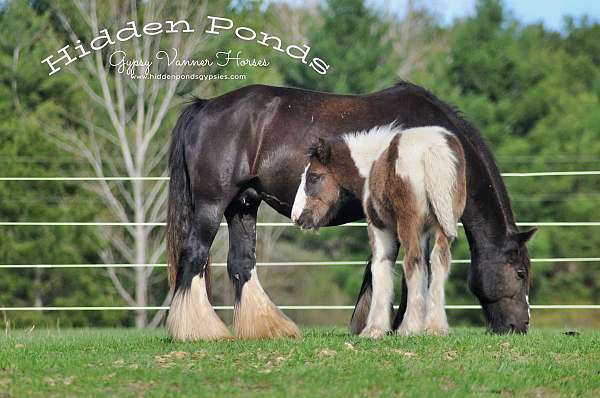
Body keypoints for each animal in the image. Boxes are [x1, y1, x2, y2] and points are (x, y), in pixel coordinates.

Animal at [292, 124, 466, 336]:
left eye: (313, 177)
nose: (297, 217)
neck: (372, 166)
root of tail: (432, 149)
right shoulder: (423, 232)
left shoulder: (378, 224)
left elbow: (379, 265)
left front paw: (374, 328)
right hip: (446, 220)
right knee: (439, 259)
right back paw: (435, 327)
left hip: (409, 222)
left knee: (413, 261)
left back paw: (409, 327)